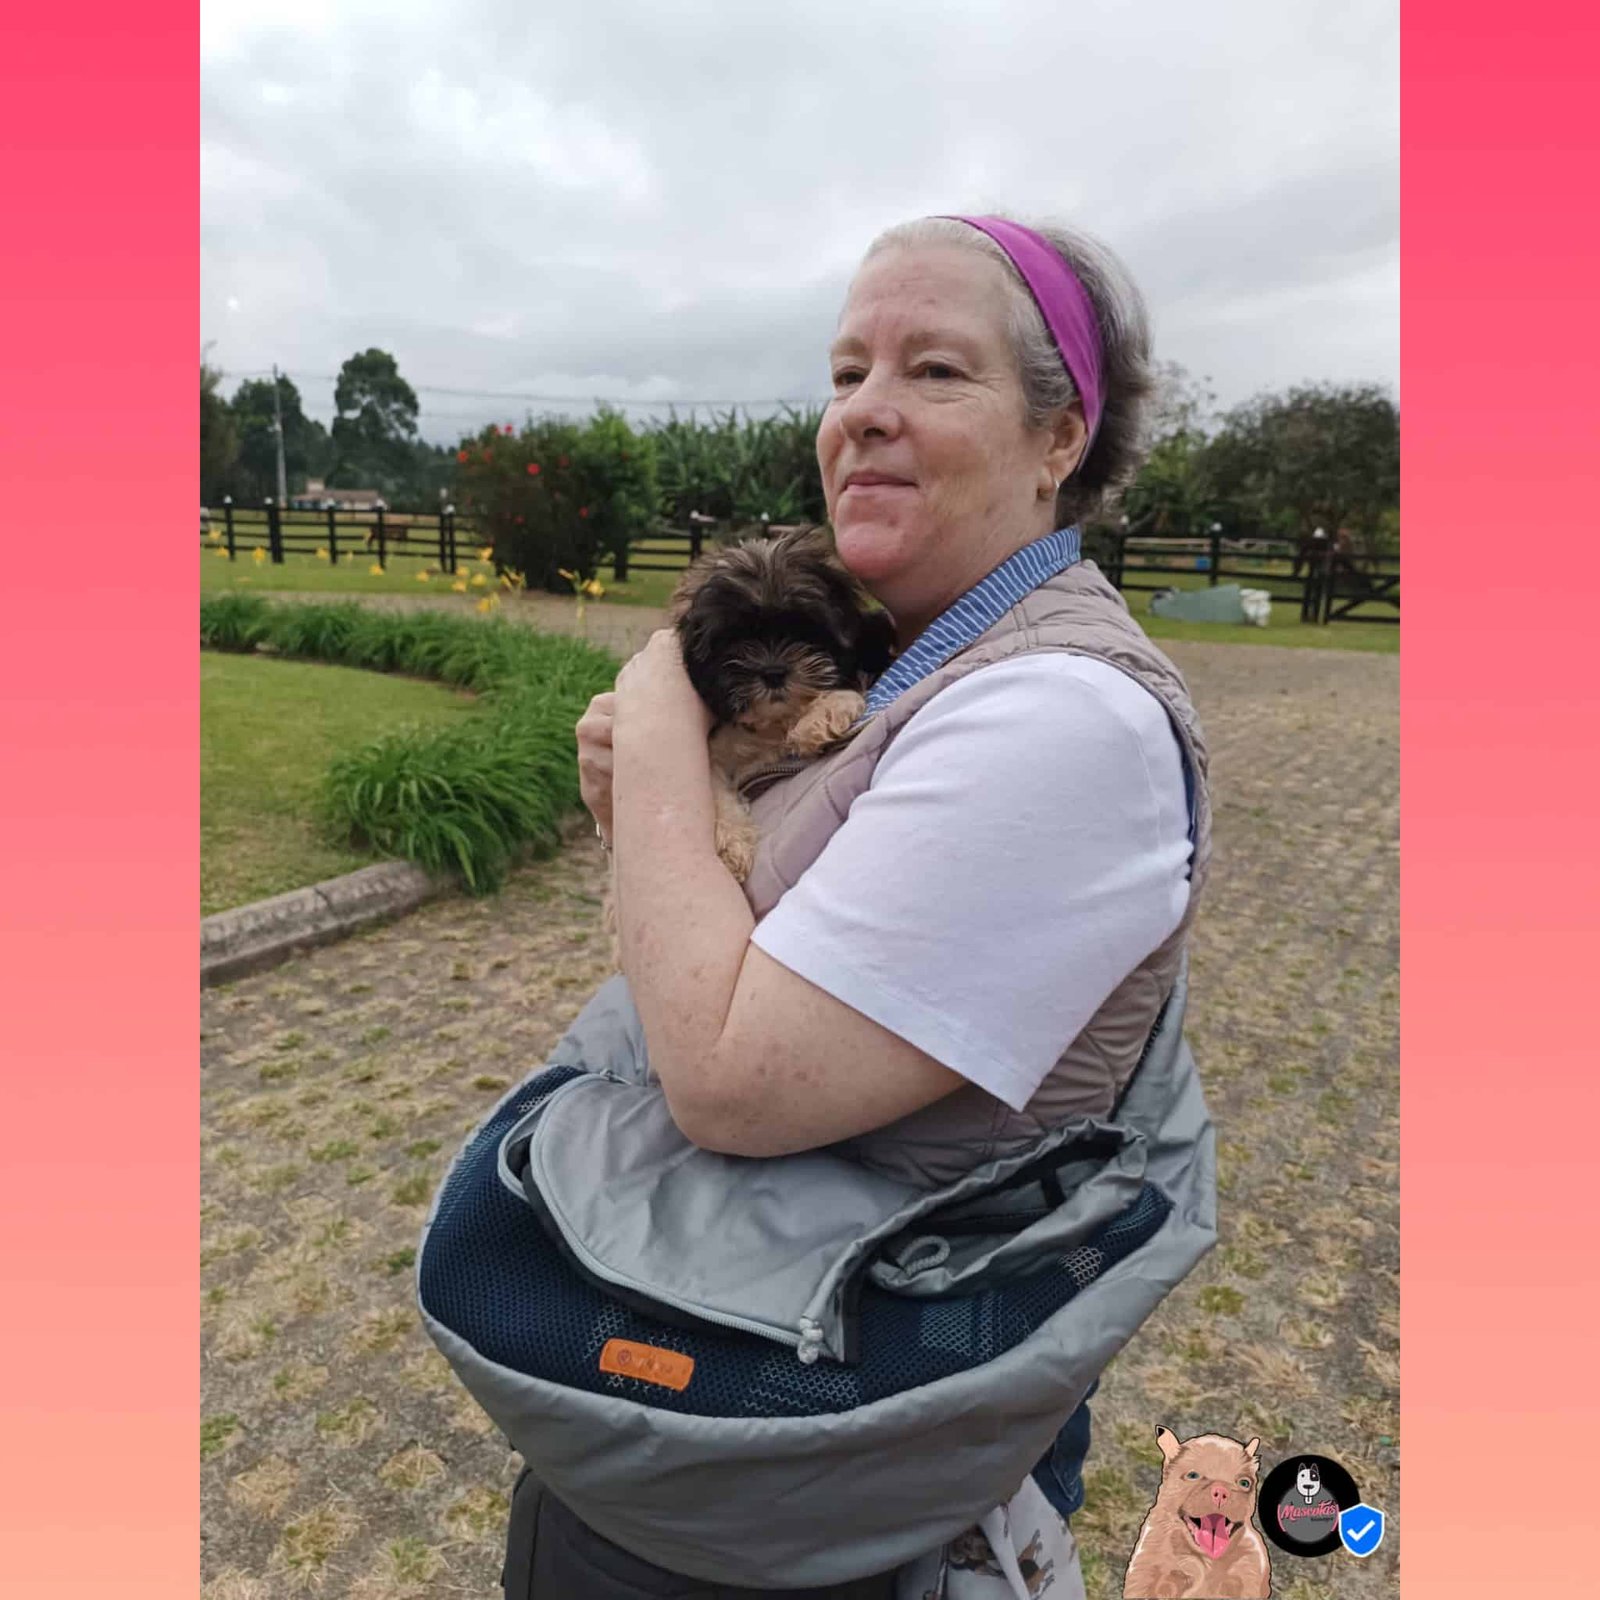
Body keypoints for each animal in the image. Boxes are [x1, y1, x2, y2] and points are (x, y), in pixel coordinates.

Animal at [603, 525, 894, 965]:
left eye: (805, 631)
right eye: (735, 641)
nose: (773, 671)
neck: (770, 725)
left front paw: (822, 715)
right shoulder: (711, 750)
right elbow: (715, 792)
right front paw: (732, 847)